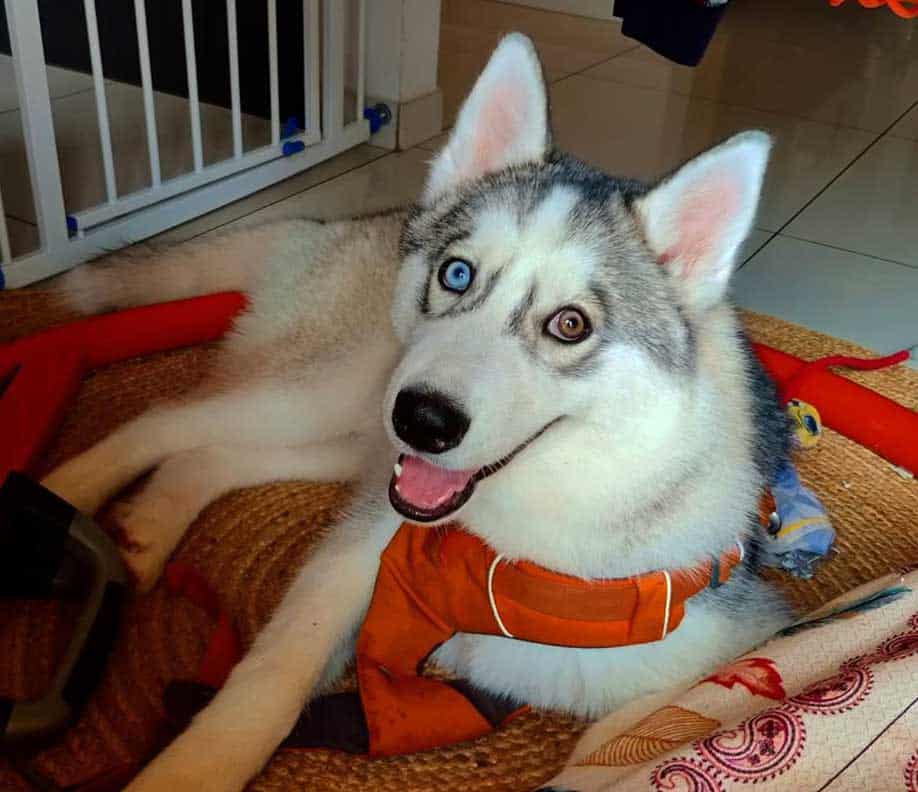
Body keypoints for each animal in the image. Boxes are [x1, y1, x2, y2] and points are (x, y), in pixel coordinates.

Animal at [45, 32, 792, 792]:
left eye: (571, 325)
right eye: (456, 273)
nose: (423, 422)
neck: (513, 554)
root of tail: (342, 225)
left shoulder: (732, 642)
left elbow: (628, 737)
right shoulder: (361, 548)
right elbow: (272, 677)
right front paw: (192, 769)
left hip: (355, 437)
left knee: (210, 455)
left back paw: (145, 527)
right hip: (332, 396)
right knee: (163, 419)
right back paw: (55, 498)